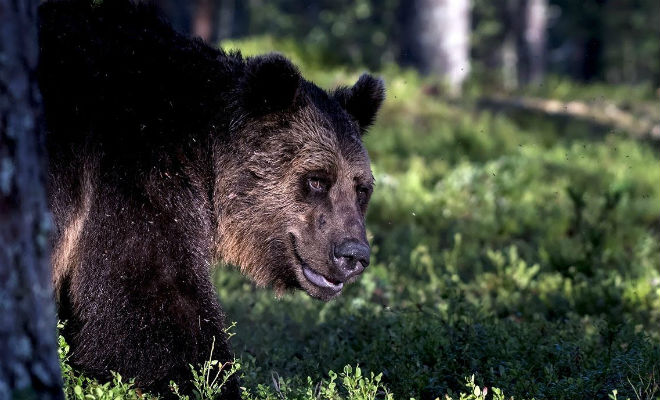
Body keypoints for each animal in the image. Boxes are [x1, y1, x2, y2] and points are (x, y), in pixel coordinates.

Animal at [36, 0, 384, 398]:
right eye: (315, 180)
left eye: (361, 188)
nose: (353, 254)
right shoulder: (132, 173)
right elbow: (149, 300)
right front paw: (210, 379)